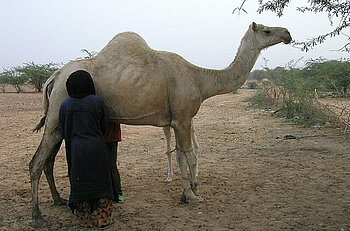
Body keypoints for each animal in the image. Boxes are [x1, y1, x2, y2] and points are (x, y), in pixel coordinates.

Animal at [28, 22, 292, 226]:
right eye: (267, 30)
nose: (287, 34)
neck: (200, 78)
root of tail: (55, 77)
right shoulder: (183, 118)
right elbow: (189, 155)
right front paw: (194, 194)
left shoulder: (178, 120)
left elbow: (181, 156)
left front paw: (186, 194)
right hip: (57, 113)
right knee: (37, 162)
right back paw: (38, 216)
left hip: (59, 120)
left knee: (48, 161)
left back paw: (59, 200)